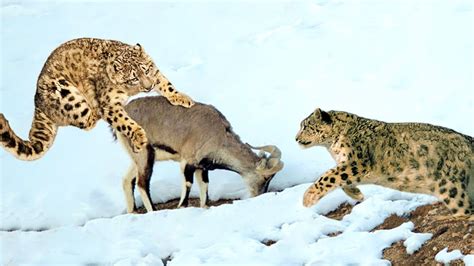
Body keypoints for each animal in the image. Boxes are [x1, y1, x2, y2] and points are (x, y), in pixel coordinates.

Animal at [0, 37, 193, 161]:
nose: (148, 87)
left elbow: (166, 84)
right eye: (133, 78)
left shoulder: (156, 75)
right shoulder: (110, 104)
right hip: (68, 95)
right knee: (88, 121)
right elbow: (125, 122)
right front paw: (139, 139)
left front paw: (183, 98)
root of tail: (37, 100)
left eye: (146, 70)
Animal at [296, 108, 474, 218]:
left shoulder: (357, 163)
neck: (333, 147)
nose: (296, 138)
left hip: (449, 185)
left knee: (465, 208)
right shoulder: (347, 166)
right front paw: (357, 194)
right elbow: (341, 180)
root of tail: (468, 139)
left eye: (305, 126)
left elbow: (328, 176)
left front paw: (307, 198)